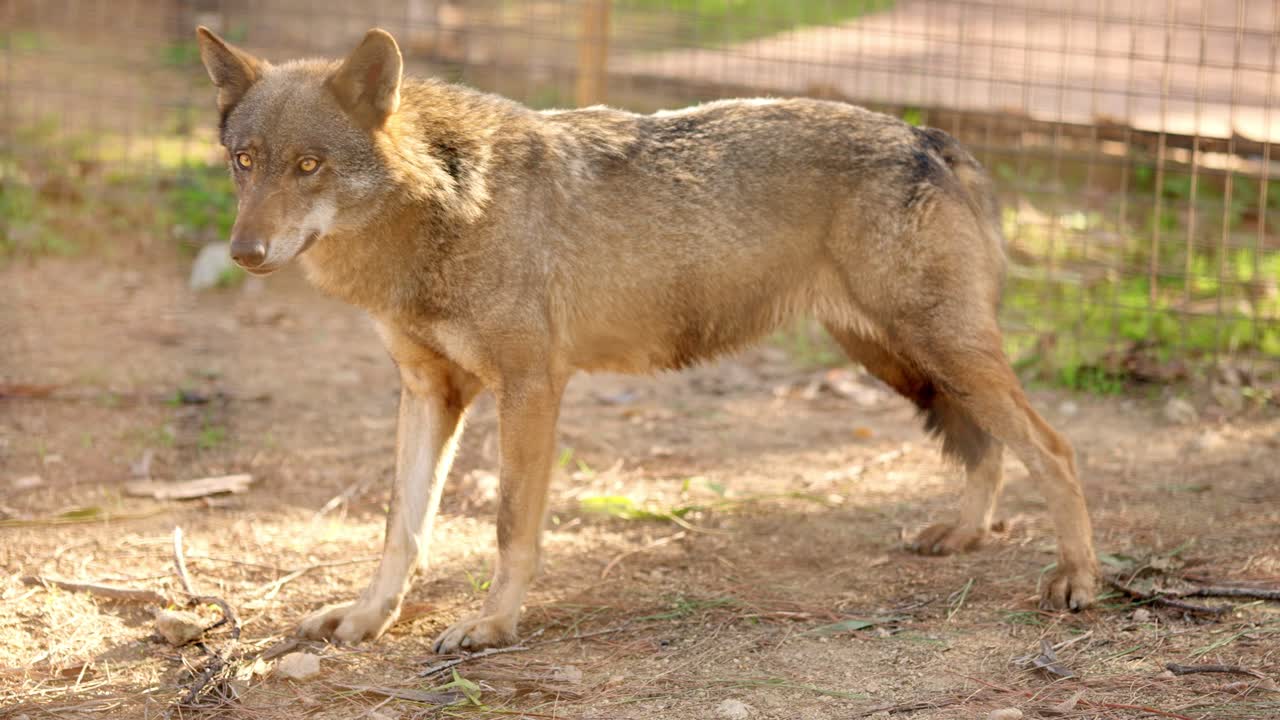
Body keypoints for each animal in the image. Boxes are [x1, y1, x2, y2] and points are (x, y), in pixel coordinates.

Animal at [196, 26, 1098, 652]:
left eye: (309, 165)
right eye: (246, 160)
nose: (245, 253)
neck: (444, 210)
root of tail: (929, 137)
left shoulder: (530, 388)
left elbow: (509, 527)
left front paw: (491, 628)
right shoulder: (429, 393)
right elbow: (401, 529)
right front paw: (368, 618)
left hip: (936, 353)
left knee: (1054, 449)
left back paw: (1077, 579)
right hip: (900, 362)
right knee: (990, 446)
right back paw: (965, 537)